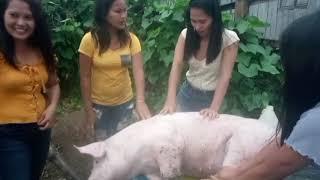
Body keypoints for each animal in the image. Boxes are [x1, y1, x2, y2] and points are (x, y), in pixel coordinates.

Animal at [77, 111, 278, 180]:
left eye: (97, 161)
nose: (90, 179)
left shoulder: (169, 144)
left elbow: (171, 167)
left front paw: (175, 174)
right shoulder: (149, 171)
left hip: (240, 143)